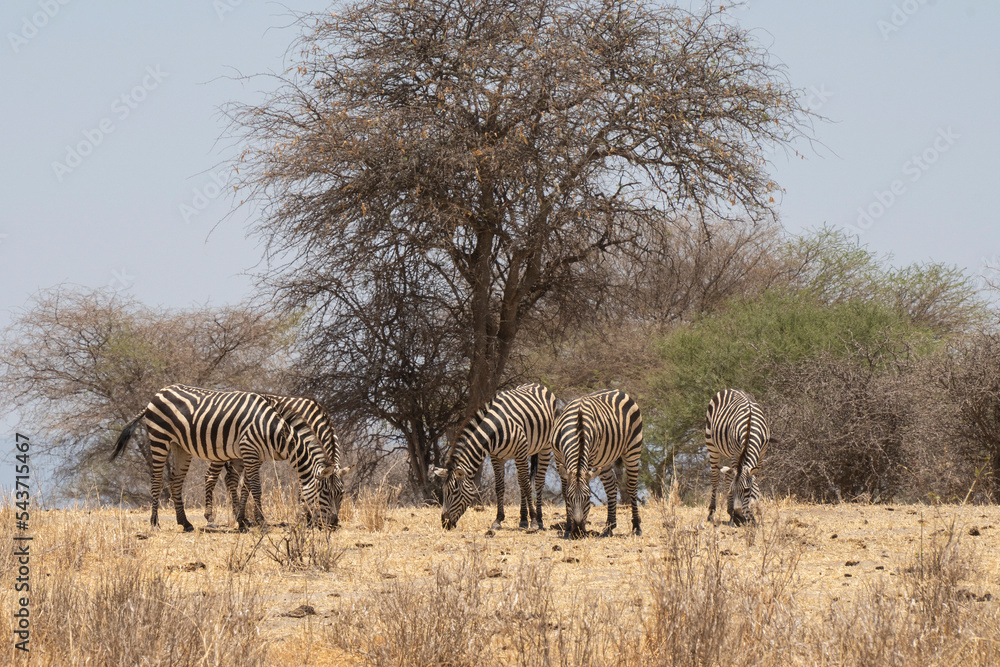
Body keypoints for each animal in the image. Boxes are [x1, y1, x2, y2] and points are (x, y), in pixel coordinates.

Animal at [110, 384, 335, 532]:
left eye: (339, 493)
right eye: (325, 492)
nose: (333, 525)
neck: (273, 430)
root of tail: (157, 394)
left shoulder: (251, 455)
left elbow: (243, 485)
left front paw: (244, 521)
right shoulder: (250, 450)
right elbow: (255, 487)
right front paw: (260, 522)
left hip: (181, 446)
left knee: (176, 480)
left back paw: (185, 523)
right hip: (159, 438)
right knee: (157, 480)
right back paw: (155, 522)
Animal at [203, 394, 351, 528]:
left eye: (342, 493)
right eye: (327, 493)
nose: (334, 523)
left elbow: (247, 485)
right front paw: (306, 516)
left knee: (230, 478)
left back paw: (236, 514)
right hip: (221, 450)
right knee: (211, 476)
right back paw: (210, 518)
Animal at [430, 383, 557, 531]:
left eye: (454, 492)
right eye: (444, 492)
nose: (444, 523)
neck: (495, 429)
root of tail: (537, 384)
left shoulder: (520, 451)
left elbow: (526, 485)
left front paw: (534, 521)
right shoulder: (496, 457)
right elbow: (500, 486)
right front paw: (498, 520)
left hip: (544, 447)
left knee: (537, 482)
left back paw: (539, 519)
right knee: (520, 481)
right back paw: (523, 520)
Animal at [552, 389, 643, 538]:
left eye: (588, 498)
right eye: (570, 499)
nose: (577, 531)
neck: (577, 427)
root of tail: (618, 391)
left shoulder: (589, 457)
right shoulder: (558, 457)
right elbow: (564, 490)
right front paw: (568, 528)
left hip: (633, 449)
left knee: (632, 487)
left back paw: (637, 527)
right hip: (604, 460)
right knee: (611, 488)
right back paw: (609, 527)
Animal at [705, 388, 772, 527]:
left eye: (746, 490)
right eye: (732, 490)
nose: (739, 518)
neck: (750, 428)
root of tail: (729, 389)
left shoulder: (761, 454)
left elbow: (753, 478)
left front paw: (752, 513)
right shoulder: (735, 453)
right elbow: (732, 479)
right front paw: (736, 515)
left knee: (728, 474)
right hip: (711, 444)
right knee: (716, 478)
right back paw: (712, 513)